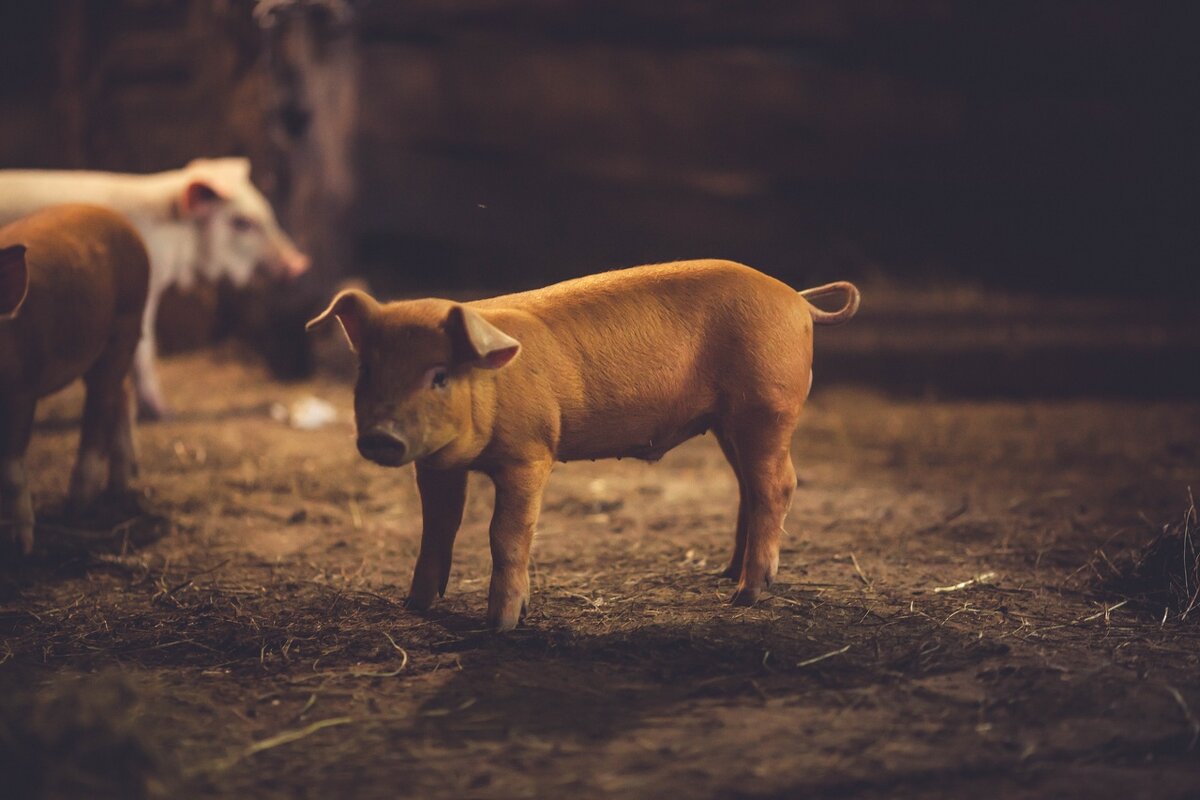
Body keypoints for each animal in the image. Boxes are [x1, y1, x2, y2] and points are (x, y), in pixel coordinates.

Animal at [0, 157, 314, 419]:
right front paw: (166, 413)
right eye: (241, 223)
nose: (300, 263)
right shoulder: (145, 289)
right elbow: (146, 345)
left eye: (267, 211)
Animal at [0, 206, 150, 556]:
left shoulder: (22, 389)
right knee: (121, 394)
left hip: (125, 324)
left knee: (101, 403)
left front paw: (23, 548)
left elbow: (11, 470)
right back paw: (120, 483)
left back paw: (78, 505)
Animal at [304, 260, 859, 628]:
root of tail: (798, 300)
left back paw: (747, 595)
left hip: (767, 406)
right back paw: (725, 575)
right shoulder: (438, 465)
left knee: (778, 485)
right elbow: (437, 527)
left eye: (440, 376)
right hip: (728, 421)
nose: (381, 436)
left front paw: (502, 623)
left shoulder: (530, 453)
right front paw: (415, 605)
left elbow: (506, 534)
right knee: (748, 487)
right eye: (367, 370)